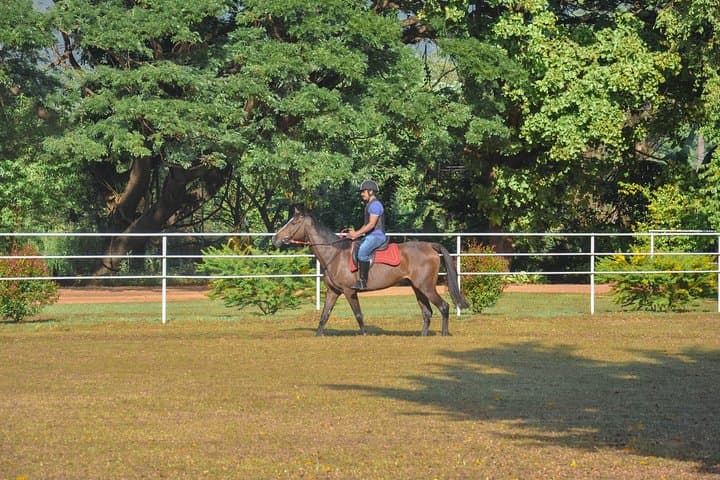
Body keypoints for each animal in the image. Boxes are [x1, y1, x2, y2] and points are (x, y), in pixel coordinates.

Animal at [272, 206, 468, 336]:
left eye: (294, 223)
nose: (275, 239)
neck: (335, 254)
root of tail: (430, 246)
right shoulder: (333, 292)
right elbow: (324, 315)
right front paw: (318, 335)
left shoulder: (349, 291)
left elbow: (358, 314)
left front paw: (365, 334)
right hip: (417, 288)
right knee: (427, 312)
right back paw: (423, 336)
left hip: (426, 287)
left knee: (444, 306)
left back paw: (444, 334)